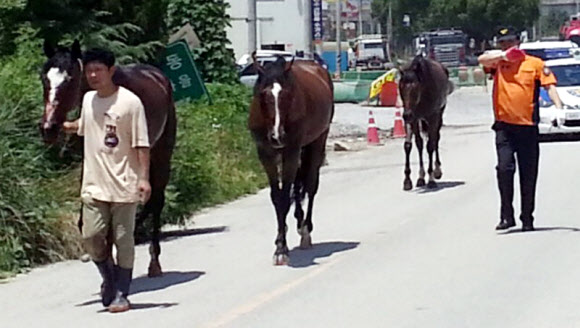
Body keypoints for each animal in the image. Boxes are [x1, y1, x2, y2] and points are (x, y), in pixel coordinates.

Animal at [39, 40, 177, 276]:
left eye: (70, 79)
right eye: (44, 78)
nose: (49, 127)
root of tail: (159, 77)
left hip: (161, 153)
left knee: (157, 200)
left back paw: (154, 262)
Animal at [247, 55, 334, 266]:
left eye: (287, 95)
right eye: (264, 95)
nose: (277, 136)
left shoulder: (291, 151)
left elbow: (285, 197)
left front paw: (281, 249)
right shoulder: (265, 153)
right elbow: (277, 197)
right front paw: (280, 239)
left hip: (318, 141)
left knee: (310, 186)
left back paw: (305, 230)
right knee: (297, 185)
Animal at [398, 55, 454, 191]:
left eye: (415, 87)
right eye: (400, 87)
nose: (406, 115)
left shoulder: (433, 117)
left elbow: (430, 146)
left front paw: (431, 179)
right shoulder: (413, 118)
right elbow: (410, 145)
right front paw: (409, 180)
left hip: (439, 115)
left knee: (435, 139)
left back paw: (437, 170)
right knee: (421, 143)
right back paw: (421, 177)